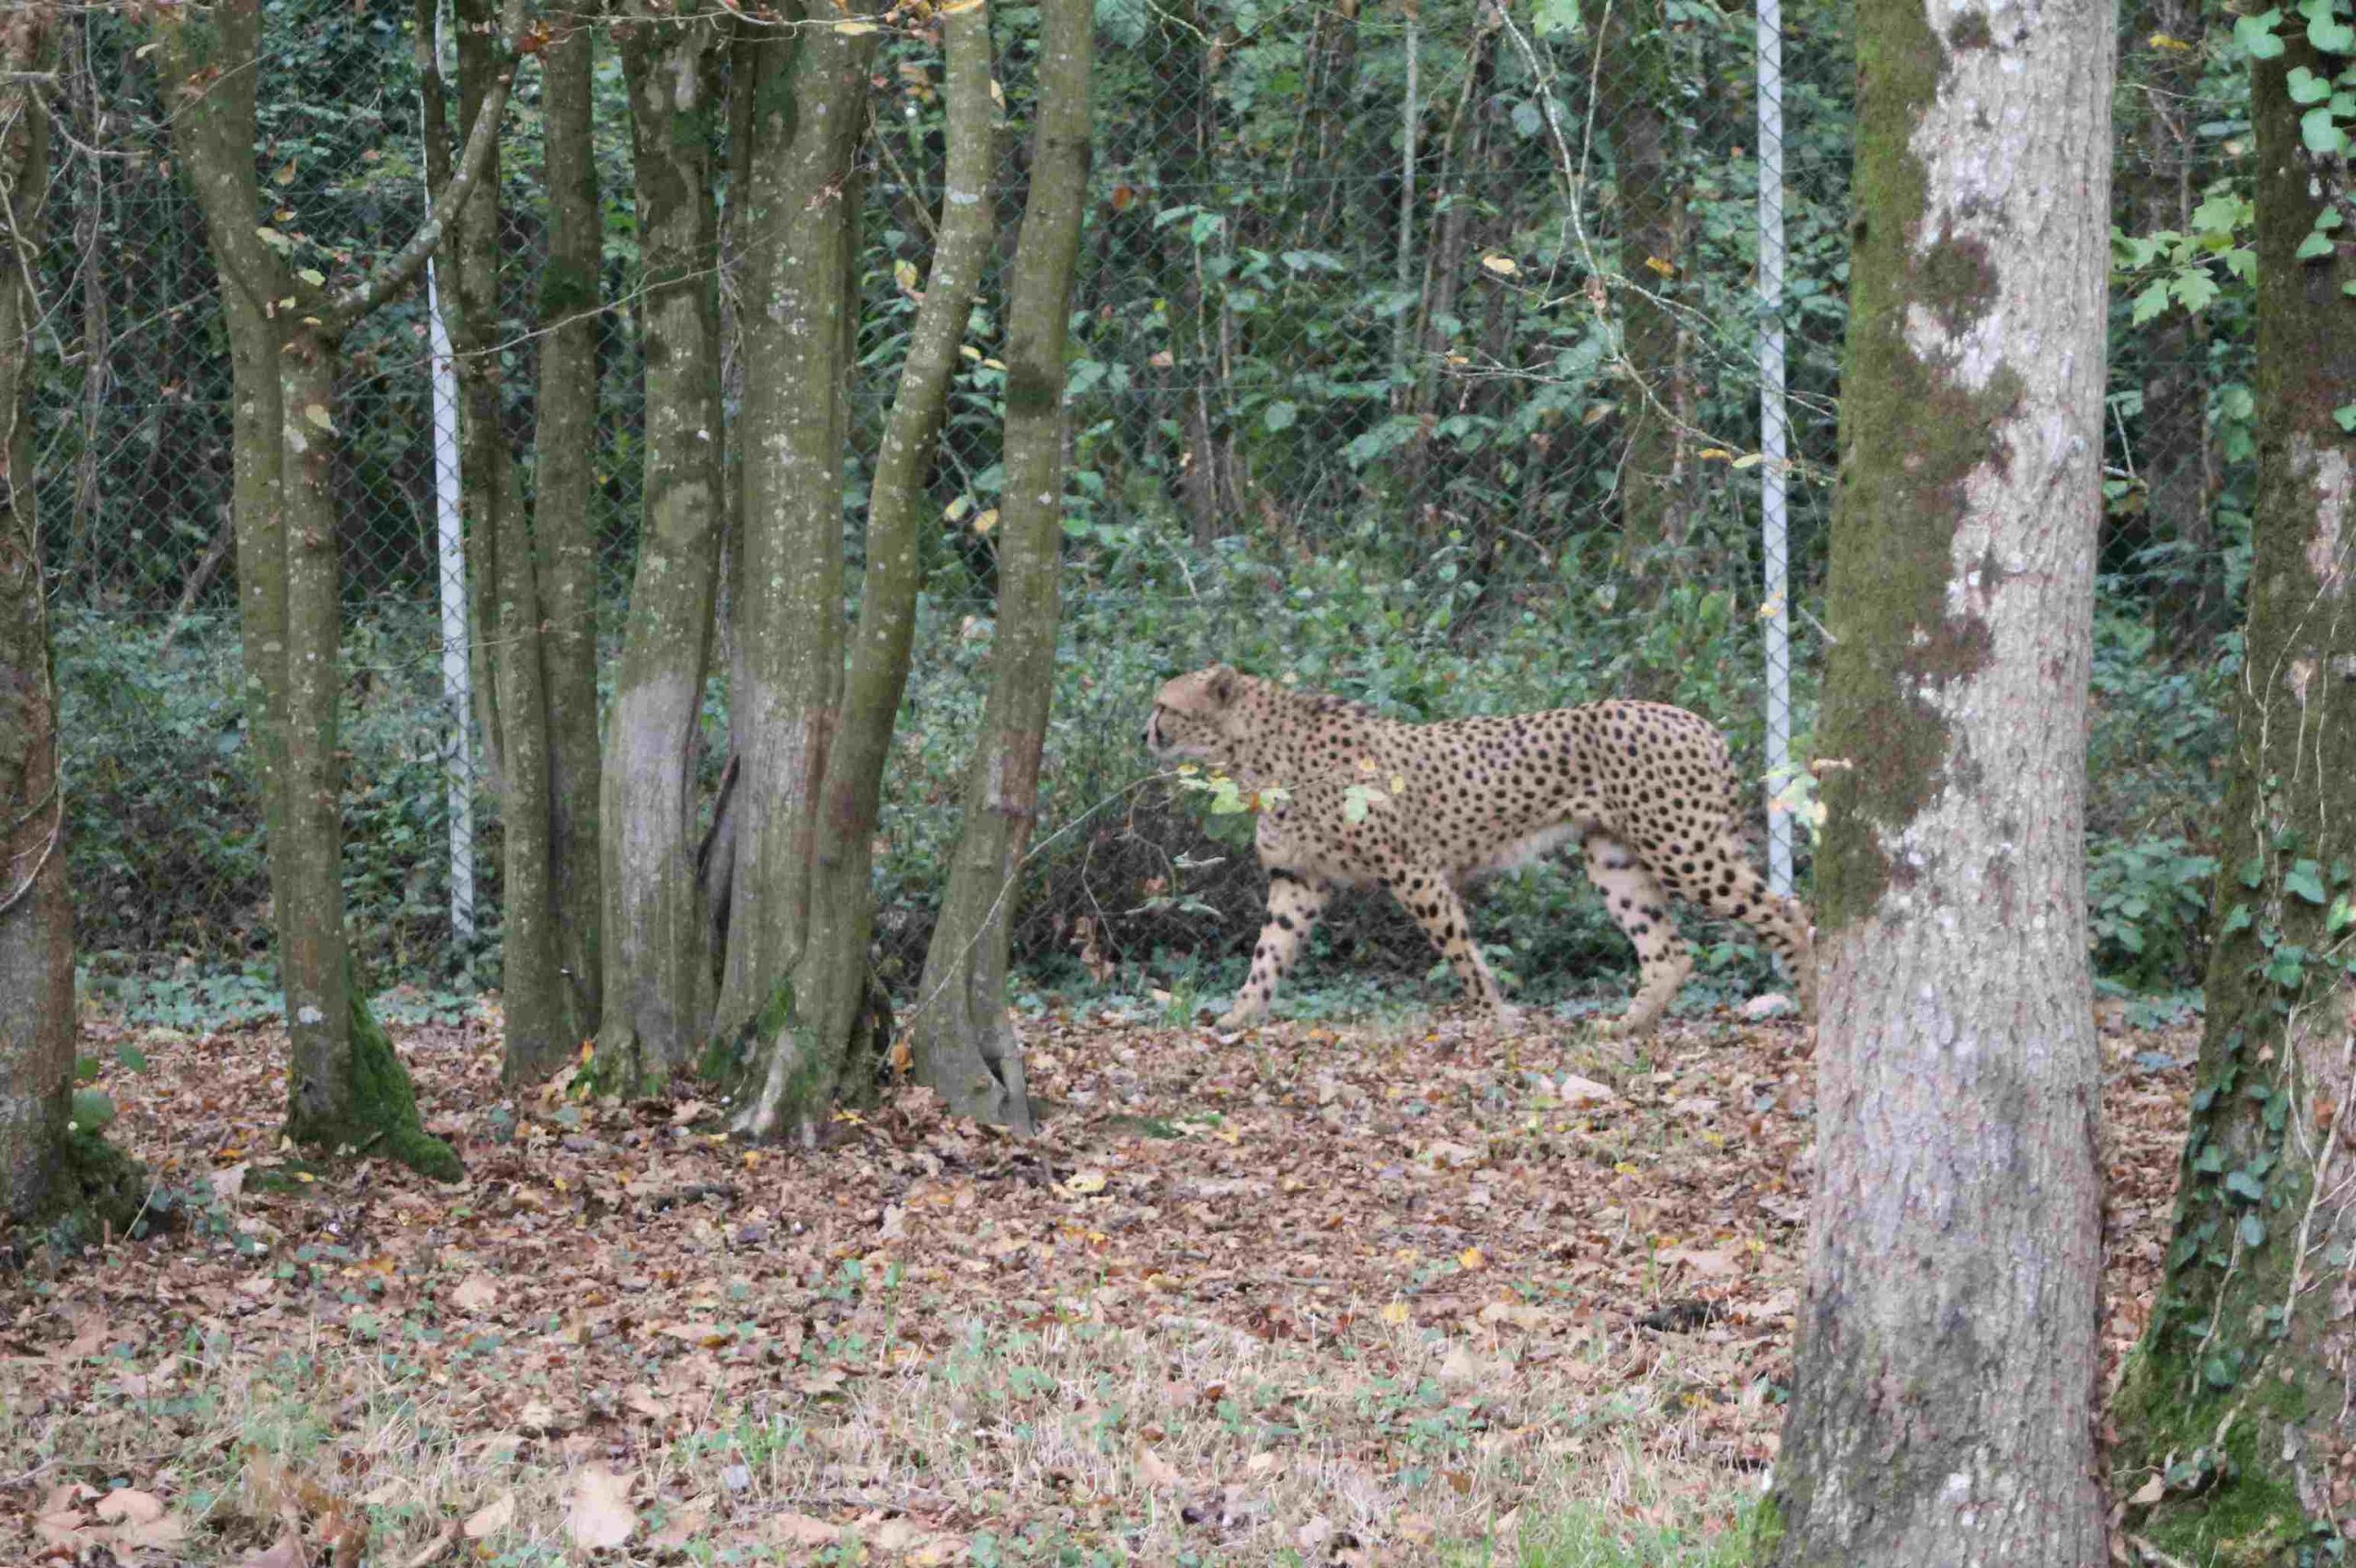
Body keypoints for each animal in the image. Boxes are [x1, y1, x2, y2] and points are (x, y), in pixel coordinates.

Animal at [1144, 664, 1815, 1037]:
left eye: (1164, 706)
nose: (1144, 732)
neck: (1254, 751)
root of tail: (1696, 720)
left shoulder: (1412, 868)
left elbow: (1459, 949)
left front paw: (1497, 1014)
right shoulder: (1298, 879)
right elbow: (1268, 956)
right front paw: (1237, 1018)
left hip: (1683, 847)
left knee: (1789, 912)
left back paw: (1811, 1005)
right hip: (1614, 858)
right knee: (1669, 951)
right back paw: (1627, 1025)